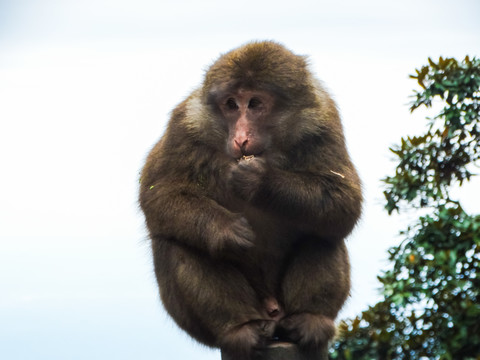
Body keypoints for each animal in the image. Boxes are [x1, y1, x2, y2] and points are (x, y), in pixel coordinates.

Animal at [138, 42, 360, 360]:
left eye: (255, 104)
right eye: (231, 105)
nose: (241, 137)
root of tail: (272, 312)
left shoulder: (323, 120)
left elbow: (344, 199)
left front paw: (260, 180)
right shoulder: (185, 123)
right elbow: (159, 193)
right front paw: (226, 229)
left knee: (323, 231)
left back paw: (310, 320)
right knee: (177, 240)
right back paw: (239, 330)